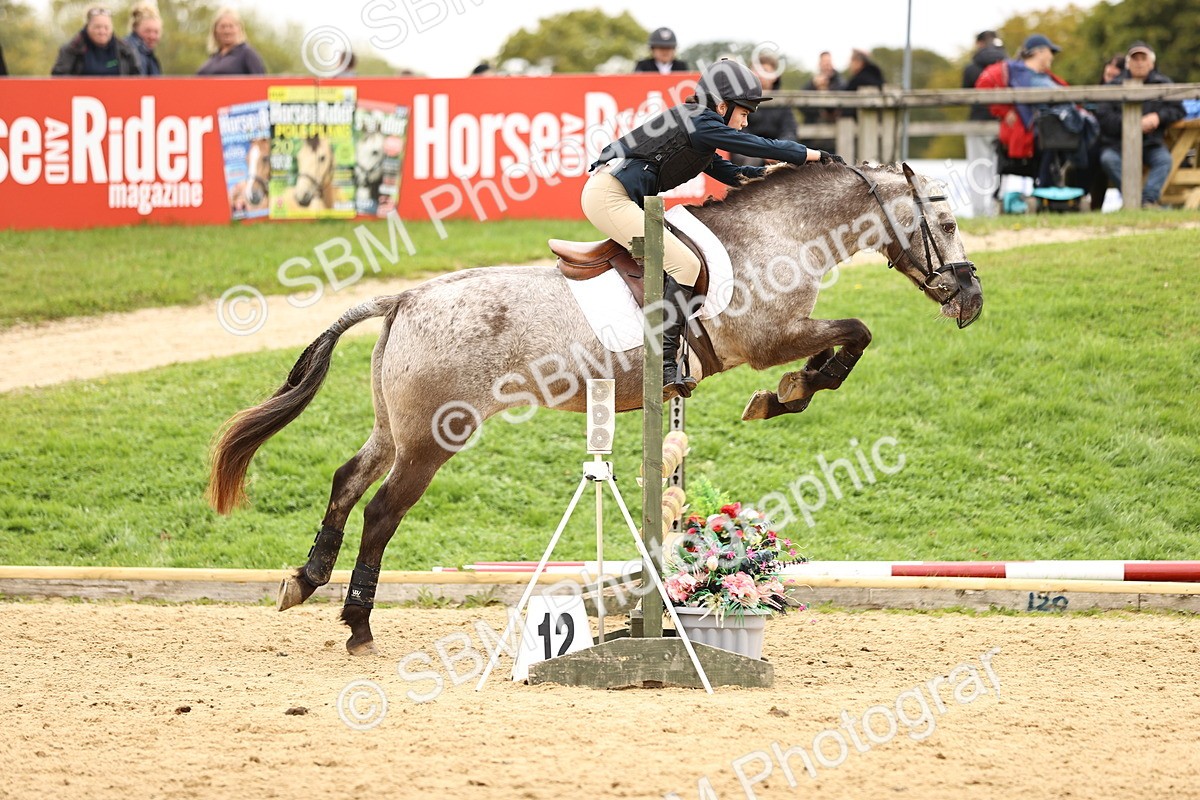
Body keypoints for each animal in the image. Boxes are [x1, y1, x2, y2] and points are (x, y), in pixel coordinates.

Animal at [206, 161, 983, 655]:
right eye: (944, 220)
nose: (971, 299)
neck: (779, 234)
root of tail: (404, 297)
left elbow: (852, 336)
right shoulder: (768, 339)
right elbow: (855, 334)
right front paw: (784, 395)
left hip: (394, 429)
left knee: (346, 482)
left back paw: (304, 581)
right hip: (433, 438)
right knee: (381, 512)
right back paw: (358, 624)